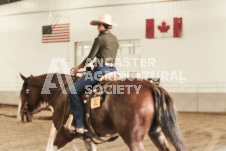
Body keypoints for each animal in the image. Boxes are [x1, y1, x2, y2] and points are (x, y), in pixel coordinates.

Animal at [19, 72, 185, 150]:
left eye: (24, 92)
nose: (21, 116)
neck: (61, 93)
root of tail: (151, 86)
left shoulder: (63, 134)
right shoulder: (87, 138)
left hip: (133, 139)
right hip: (156, 133)